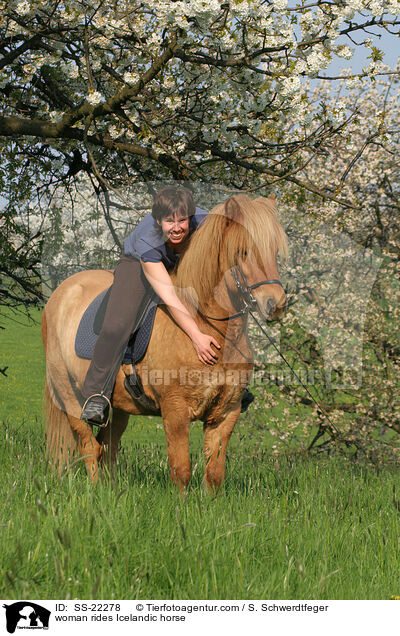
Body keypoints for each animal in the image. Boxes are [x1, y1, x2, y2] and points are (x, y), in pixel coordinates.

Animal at [43, 194, 288, 492]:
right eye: (242, 252)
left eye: (274, 251)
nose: (275, 303)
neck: (204, 327)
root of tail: (60, 293)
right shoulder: (175, 411)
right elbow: (181, 470)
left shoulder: (226, 413)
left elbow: (214, 475)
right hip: (70, 397)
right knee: (90, 448)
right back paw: (95, 492)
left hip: (119, 407)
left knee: (106, 448)